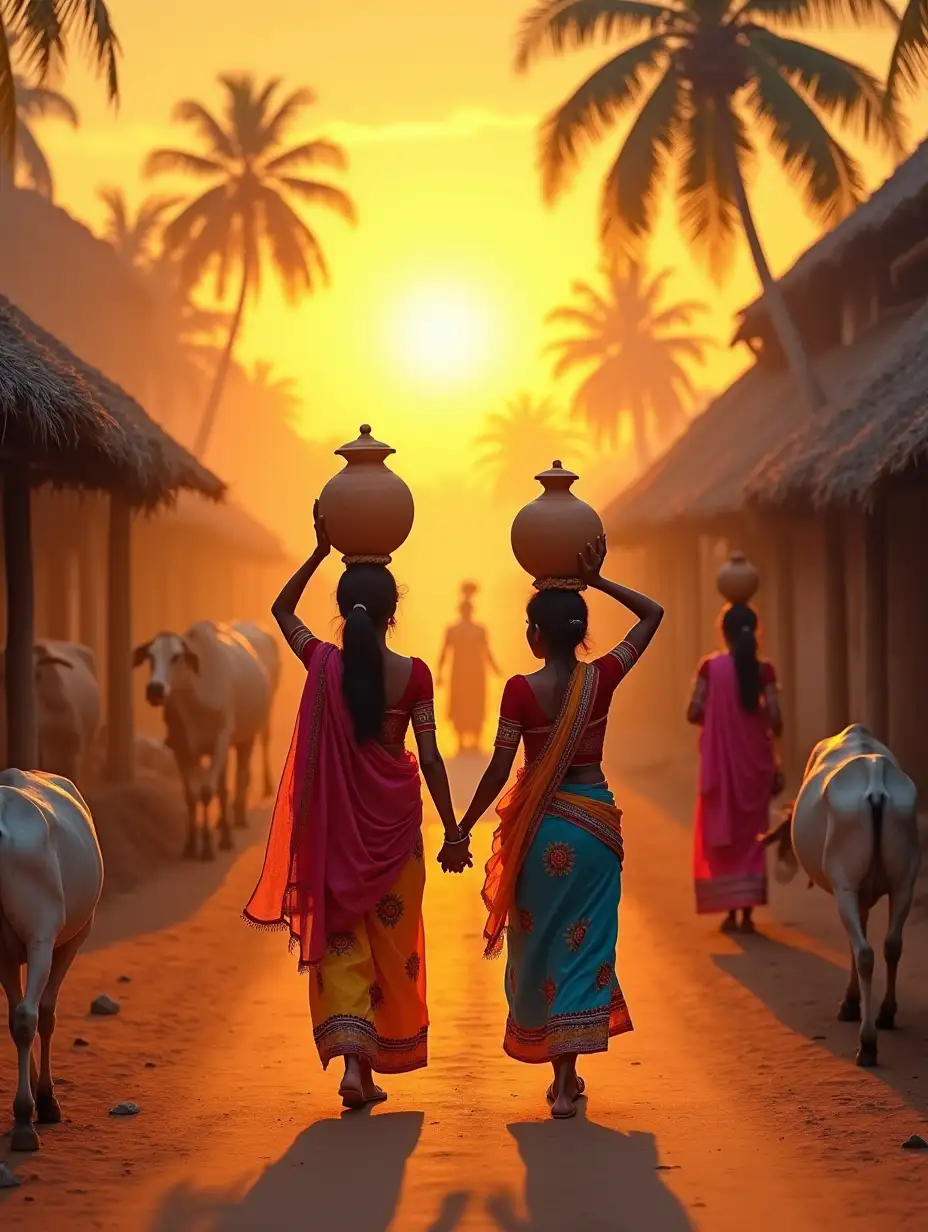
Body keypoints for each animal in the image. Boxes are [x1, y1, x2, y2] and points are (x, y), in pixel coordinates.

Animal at [0, 773, 102, 1148]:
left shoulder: (4, 954)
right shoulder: (73, 938)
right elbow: (44, 1013)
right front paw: (45, 1099)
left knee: (20, 1016)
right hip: (44, 940)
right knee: (29, 1016)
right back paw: (25, 1120)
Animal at [130, 620, 277, 862]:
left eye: (176, 656)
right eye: (150, 655)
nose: (155, 689)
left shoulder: (220, 742)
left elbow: (208, 793)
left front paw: (208, 847)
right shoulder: (182, 749)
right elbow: (191, 796)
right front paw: (190, 845)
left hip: (245, 738)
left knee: (239, 775)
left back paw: (237, 819)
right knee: (223, 787)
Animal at [759, 724, 921, 1064]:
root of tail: (876, 786)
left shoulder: (849, 890)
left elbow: (853, 945)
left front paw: (850, 1002)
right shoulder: (867, 894)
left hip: (846, 886)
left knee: (864, 953)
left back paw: (867, 1041)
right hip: (904, 882)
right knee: (891, 944)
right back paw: (886, 1013)